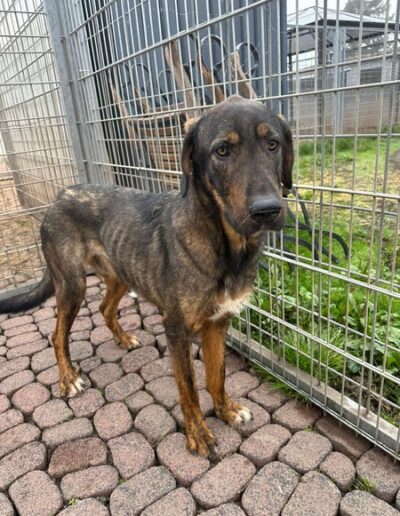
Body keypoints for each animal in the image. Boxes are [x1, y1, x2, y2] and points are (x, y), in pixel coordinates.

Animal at [0, 96, 293, 456]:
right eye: (222, 150)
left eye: (272, 144)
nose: (267, 210)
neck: (226, 246)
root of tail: (60, 194)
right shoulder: (177, 329)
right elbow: (189, 388)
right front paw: (198, 434)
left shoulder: (217, 323)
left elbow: (217, 375)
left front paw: (226, 410)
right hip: (71, 284)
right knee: (58, 335)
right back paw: (68, 378)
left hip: (121, 275)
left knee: (105, 309)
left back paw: (123, 338)